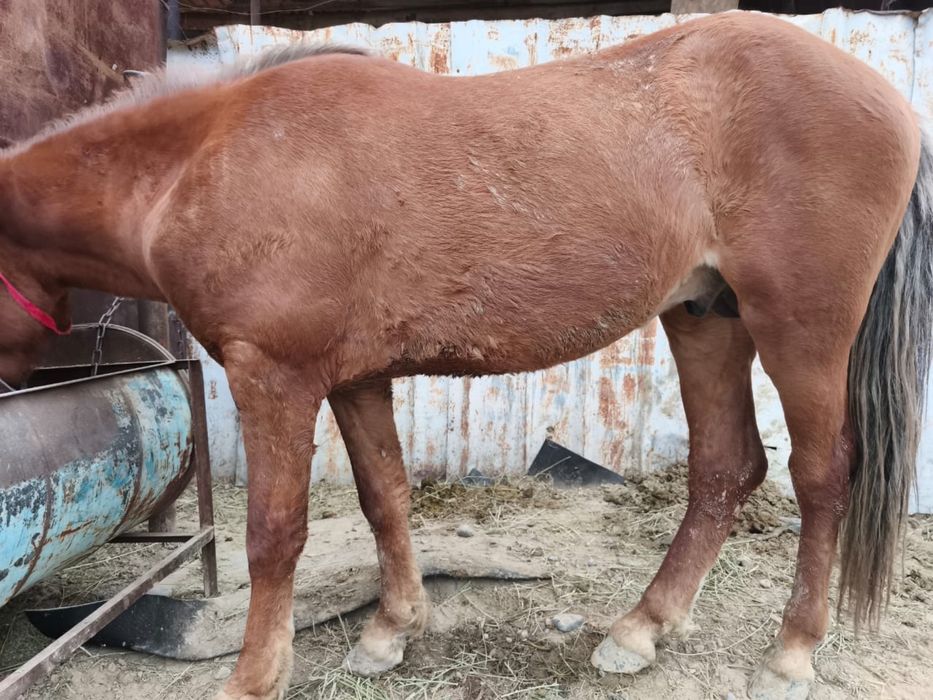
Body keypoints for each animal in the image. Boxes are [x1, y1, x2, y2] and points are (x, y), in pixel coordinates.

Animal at [1, 11, 929, 700]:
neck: (211, 162)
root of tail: (887, 99)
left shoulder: (274, 377)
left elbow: (274, 532)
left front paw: (256, 676)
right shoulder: (357, 380)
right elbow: (385, 499)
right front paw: (391, 632)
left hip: (800, 327)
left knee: (820, 476)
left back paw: (791, 651)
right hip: (705, 317)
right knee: (725, 469)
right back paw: (641, 630)